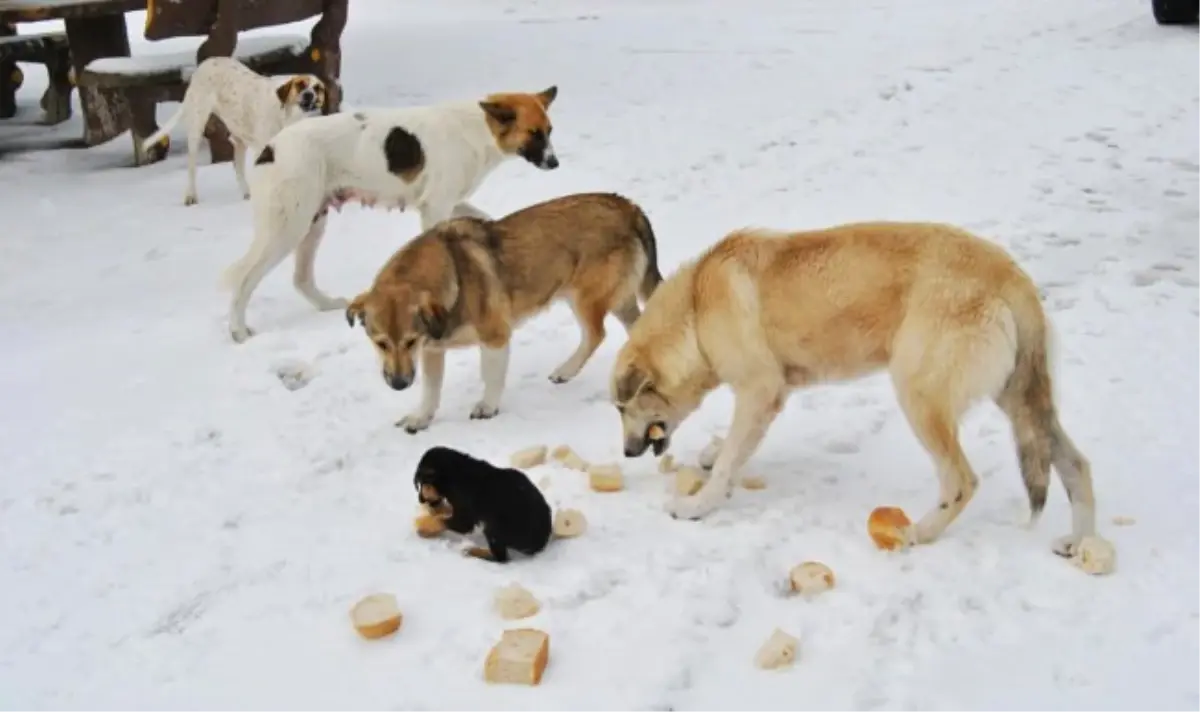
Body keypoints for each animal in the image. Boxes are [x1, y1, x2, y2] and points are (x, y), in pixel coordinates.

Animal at [141, 55, 328, 205]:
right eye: (300, 85)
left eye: (317, 88)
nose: (309, 94)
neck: (287, 114)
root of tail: (205, 64)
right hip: (196, 129)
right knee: (192, 167)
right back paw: (191, 195)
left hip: (238, 139)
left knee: (238, 168)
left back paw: (247, 193)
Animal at [223, 85, 559, 340]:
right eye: (534, 133)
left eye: (549, 131)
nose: (555, 163)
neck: (479, 128)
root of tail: (271, 149)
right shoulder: (436, 205)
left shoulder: (453, 202)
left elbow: (488, 220)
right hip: (288, 226)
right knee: (243, 277)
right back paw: (238, 330)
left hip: (312, 223)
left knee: (301, 278)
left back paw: (327, 304)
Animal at [348, 192, 667, 429]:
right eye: (380, 343)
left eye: (409, 341)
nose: (399, 384)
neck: (453, 274)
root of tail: (628, 206)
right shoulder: (433, 349)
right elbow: (430, 389)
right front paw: (420, 418)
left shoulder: (494, 337)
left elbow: (490, 377)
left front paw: (487, 407)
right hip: (614, 298)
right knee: (637, 326)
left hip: (586, 297)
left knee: (596, 334)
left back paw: (566, 371)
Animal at [412, 444, 552, 561]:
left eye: (424, 484)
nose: (420, 500)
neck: (455, 473)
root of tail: (541, 542)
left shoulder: (464, 511)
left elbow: (442, 521)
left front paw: (425, 526)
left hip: (495, 528)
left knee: (501, 558)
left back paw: (475, 552)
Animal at [609, 222, 1099, 554]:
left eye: (619, 408)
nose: (627, 453)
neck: (697, 307)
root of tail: (1013, 276)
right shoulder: (762, 399)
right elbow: (729, 450)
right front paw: (711, 458)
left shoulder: (760, 392)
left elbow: (731, 459)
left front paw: (700, 505)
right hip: (1020, 404)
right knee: (1077, 464)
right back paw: (1080, 542)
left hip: (920, 398)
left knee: (962, 481)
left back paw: (917, 533)